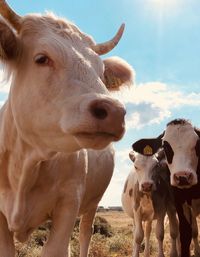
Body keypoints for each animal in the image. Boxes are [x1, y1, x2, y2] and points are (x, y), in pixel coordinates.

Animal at [0, 2, 134, 256]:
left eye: (101, 72)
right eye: (41, 58)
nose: (113, 111)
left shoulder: (69, 203)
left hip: (91, 205)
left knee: (84, 233)